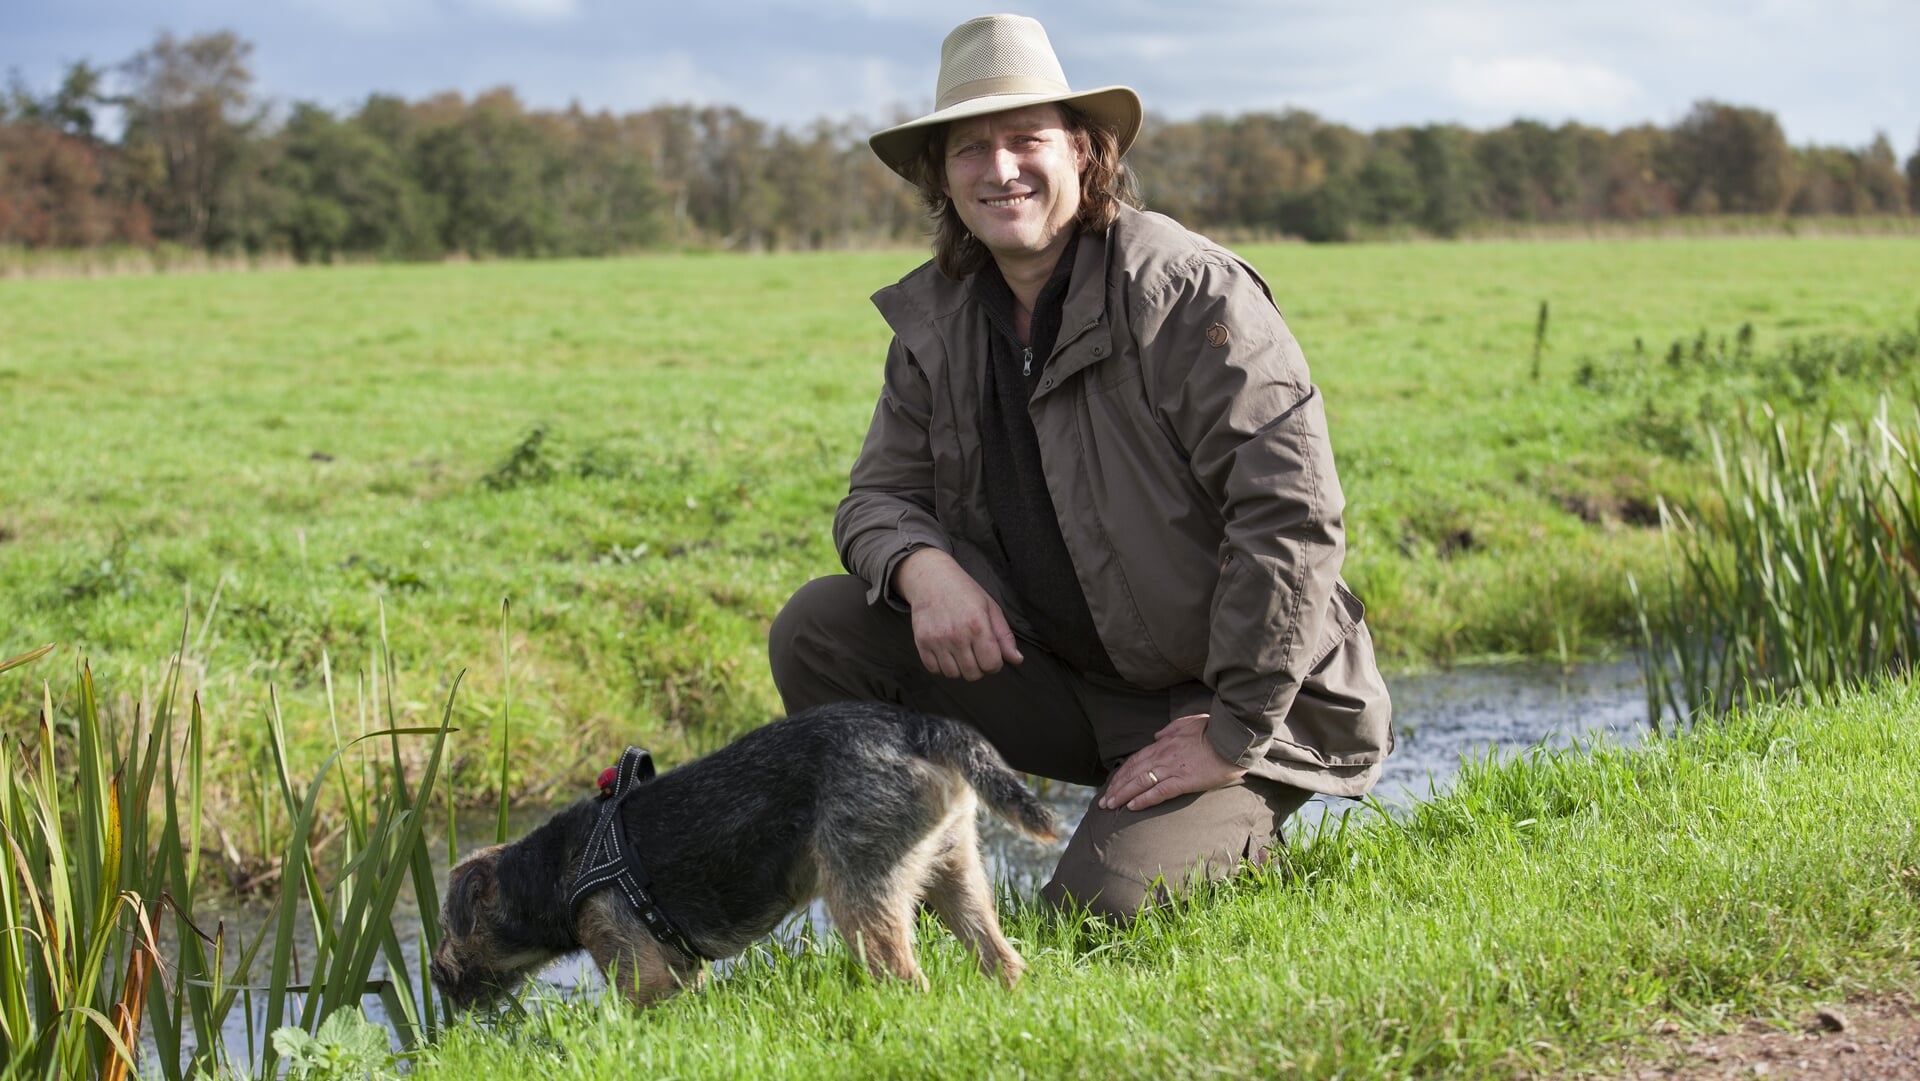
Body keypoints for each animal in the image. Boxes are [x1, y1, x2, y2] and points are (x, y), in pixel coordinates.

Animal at [433, 702, 1059, 1006]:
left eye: (447, 925)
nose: (435, 978)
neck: (559, 870)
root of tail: (920, 727)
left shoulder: (635, 973)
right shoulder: (679, 973)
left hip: (860, 888)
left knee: (906, 977)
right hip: (956, 873)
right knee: (1003, 960)